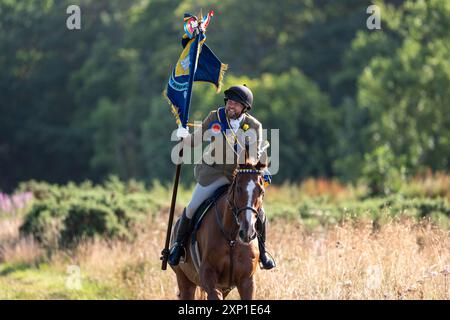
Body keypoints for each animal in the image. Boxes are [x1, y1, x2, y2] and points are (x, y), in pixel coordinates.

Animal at [171, 160, 266, 300]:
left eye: (261, 191)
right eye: (238, 189)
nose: (247, 233)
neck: (231, 237)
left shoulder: (247, 281)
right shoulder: (209, 277)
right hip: (184, 281)